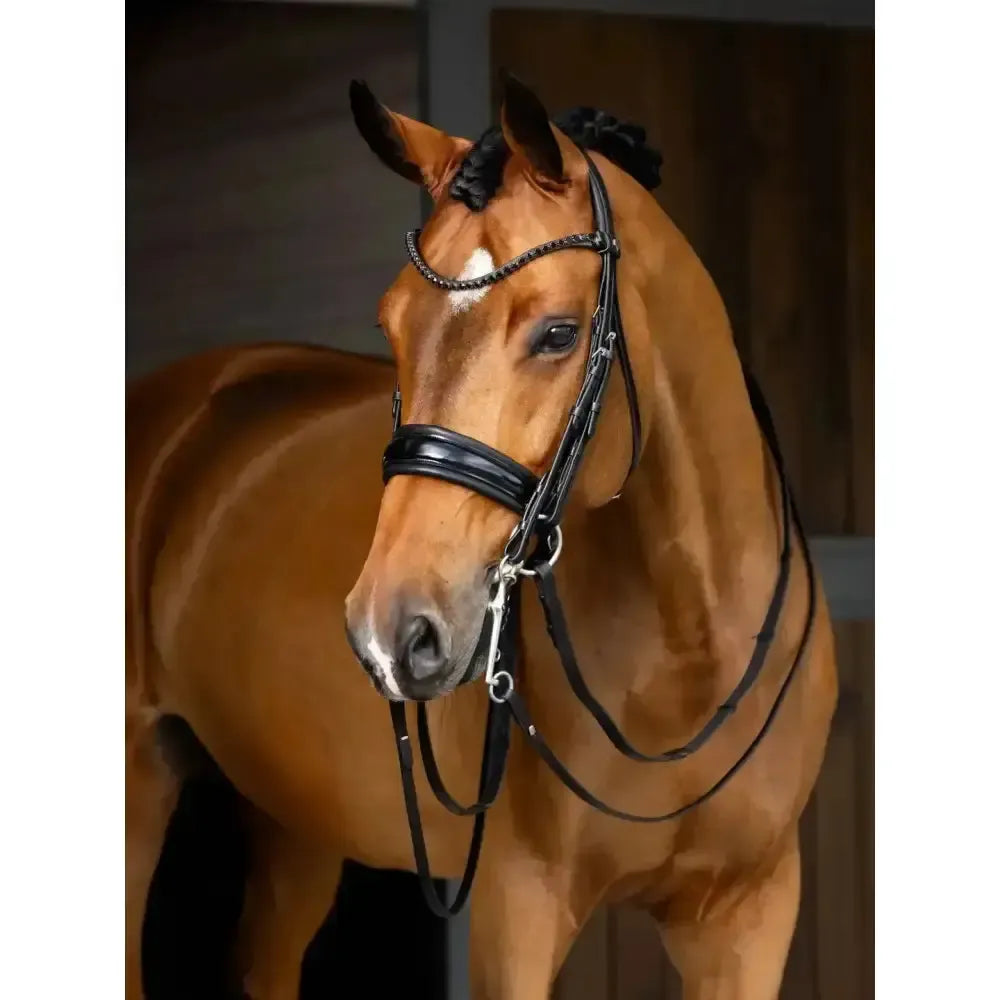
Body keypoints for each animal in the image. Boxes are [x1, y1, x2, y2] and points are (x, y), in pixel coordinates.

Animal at [125, 74, 837, 1000]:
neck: (690, 649)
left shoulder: (748, 912)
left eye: (559, 333)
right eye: (391, 324)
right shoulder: (518, 907)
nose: (390, 632)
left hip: (294, 821)